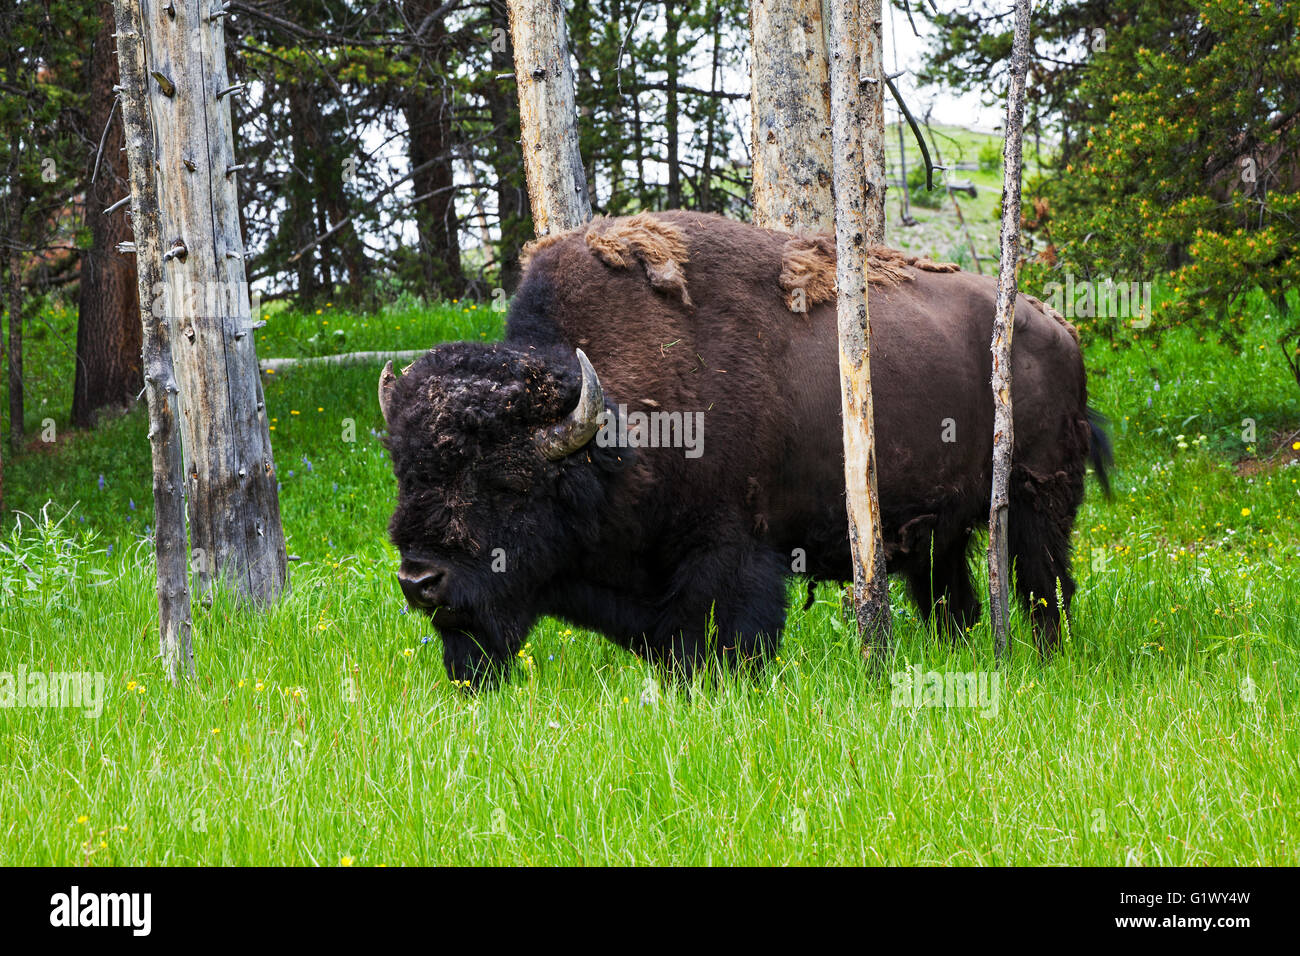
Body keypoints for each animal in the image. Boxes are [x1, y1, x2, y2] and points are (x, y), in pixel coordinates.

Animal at [380, 211, 1110, 687]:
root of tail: (1057, 328)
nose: (419, 580)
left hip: (1037, 499)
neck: (615, 435)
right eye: (405, 474)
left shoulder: (731, 556)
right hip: (940, 533)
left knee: (1045, 587)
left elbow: (727, 638)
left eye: (508, 482)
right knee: (953, 603)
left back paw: (1046, 661)